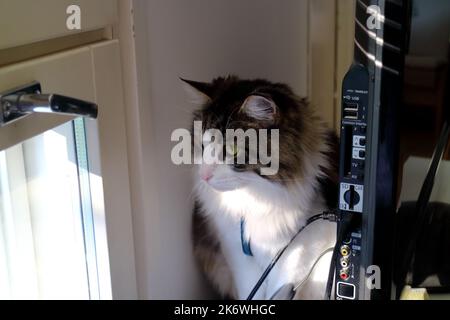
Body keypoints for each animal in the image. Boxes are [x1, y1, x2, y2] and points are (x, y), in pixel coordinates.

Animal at [183, 75, 338, 300]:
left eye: (233, 149)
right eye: (202, 146)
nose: (204, 176)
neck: (258, 198)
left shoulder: (299, 249)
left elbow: (280, 290)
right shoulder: (236, 252)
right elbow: (251, 291)